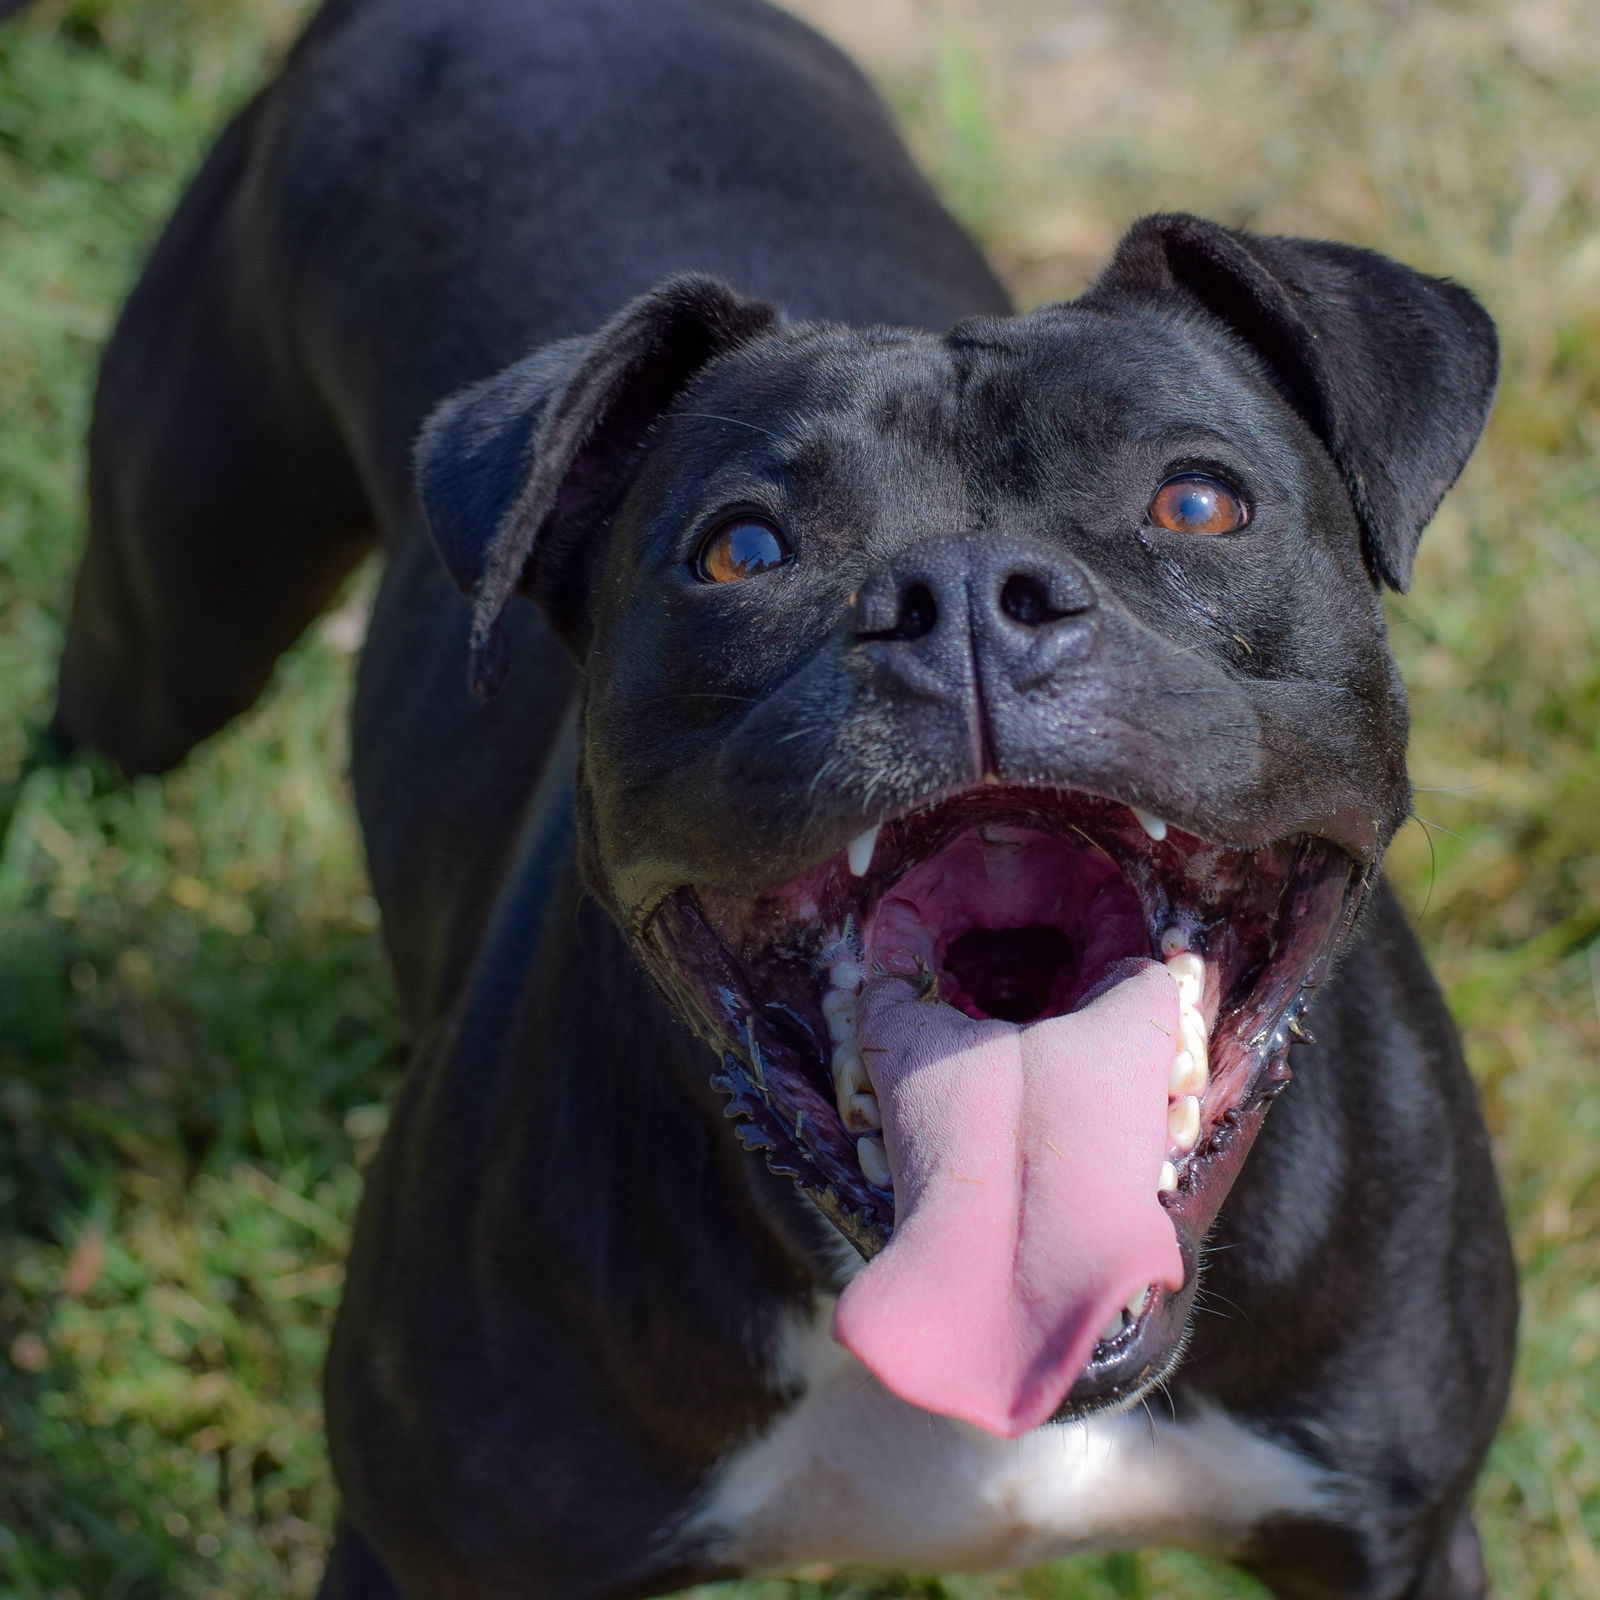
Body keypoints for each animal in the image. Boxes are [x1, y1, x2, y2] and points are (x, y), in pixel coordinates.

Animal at [56, 0, 1516, 1593]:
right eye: (740, 550)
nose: (963, 595)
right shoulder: (430, 1549)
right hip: (171, 631)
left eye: (1198, 502)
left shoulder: (1395, 1536)